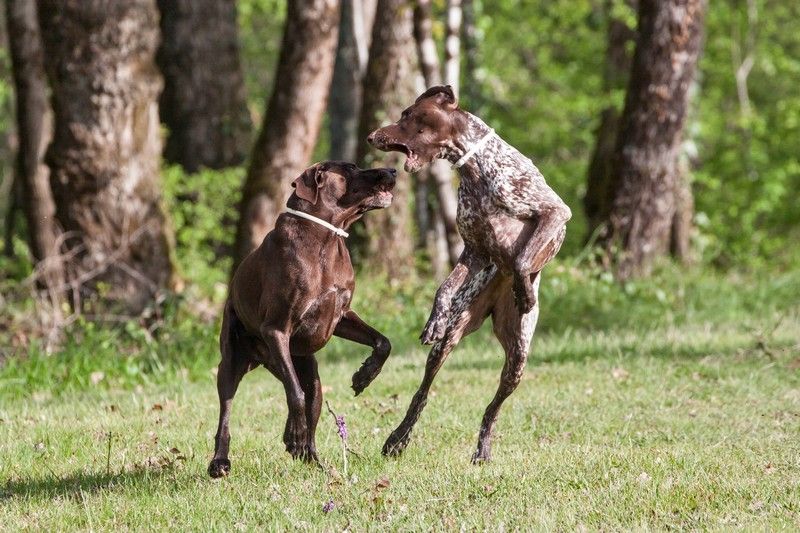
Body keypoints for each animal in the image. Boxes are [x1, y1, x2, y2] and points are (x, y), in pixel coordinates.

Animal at [206, 160, 394, 476]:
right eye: (350, 168)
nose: (393, 170)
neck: (326, 237)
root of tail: (262, 359)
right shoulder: (277, 330)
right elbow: (294, 394)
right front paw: (294, 433)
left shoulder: (341, 317)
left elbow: (383, 342)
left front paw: (364, 376)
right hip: (233, 362)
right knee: (227, 413)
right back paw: (221, 460)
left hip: (309, 374)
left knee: (311, 408)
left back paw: (315, 461)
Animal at [366, 86, 572, 462]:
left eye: (407, 115)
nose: (372, 136)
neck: (476, 170)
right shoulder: (474, 252)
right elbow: (443, 289)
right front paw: (433, 319)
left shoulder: (554, 213)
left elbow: (521, 260)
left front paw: (525, 293)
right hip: (449, 341)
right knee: (422, 393)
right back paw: (398, 437)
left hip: (518, 358)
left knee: (492, 408)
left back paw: (483, 450)